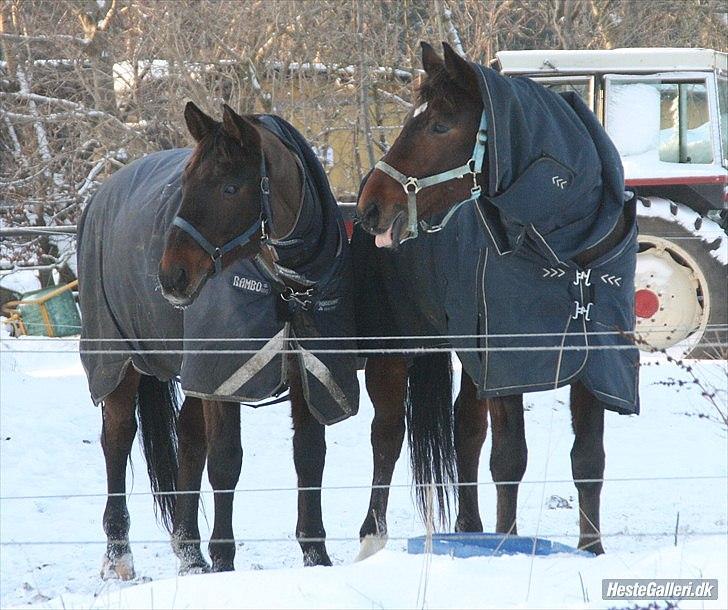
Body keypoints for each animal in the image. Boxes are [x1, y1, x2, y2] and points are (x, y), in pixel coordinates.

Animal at [78, 100, 356, 576]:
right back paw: (119, 554)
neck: (285, 285)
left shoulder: (310, 373)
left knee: (188, 442)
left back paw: (190, 554)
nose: (172, 277)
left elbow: (309, 456)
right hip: (118, 362)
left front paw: (316, 555)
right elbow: (226, 461)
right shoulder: (224, 378)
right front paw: (225, 558)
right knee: (116, 439)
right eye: (185, 184)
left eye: (229, 188)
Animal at [356, 41, 640, 556]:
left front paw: (592, 551)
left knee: (465, 431)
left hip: (471, 359)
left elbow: (588, 459)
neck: (569, 251)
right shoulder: (509, 362)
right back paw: (372, 539)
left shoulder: (594, 362)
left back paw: (470, 528)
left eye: (440, 124)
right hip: (394, 348)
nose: (371, 207)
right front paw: (508, 542)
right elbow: (510, 459)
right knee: (386, 434)